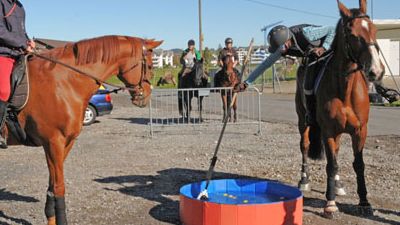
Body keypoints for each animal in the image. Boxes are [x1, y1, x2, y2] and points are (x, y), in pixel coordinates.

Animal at [5, 35, 161, 225]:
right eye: (151, 66)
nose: (146, 95)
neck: (64, 82)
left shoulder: (65, 143)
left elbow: (52, 185)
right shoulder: (53, 142)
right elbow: (59, 187)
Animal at [296, 0, 386, 217]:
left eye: (374, 30)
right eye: (352, 34)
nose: (376, 71)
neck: (345, 91)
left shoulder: (360, 131)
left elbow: (358, 165)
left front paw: (364, 202)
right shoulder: (328, 131)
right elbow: (331, 164)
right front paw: (330, 203)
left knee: (335, 152)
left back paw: (337, 185)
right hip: (303, 121)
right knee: (304, 146)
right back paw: (304, 179)